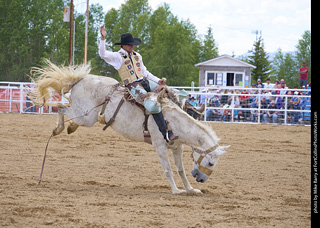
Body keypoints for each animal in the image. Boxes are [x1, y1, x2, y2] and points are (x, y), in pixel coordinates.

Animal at [29, 60, 230, 194]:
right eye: (211, 162)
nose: (202, 179)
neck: (173, 121)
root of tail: (81, 79)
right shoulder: (159, 145)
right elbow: (168, 170)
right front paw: (176, 191)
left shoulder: (177, 147)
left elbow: (180, 170)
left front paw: (190, 189)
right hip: (85, 115)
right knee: (61, 107)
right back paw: (59, 129)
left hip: (86, 116)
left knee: (68, 111)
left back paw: (71, 127)